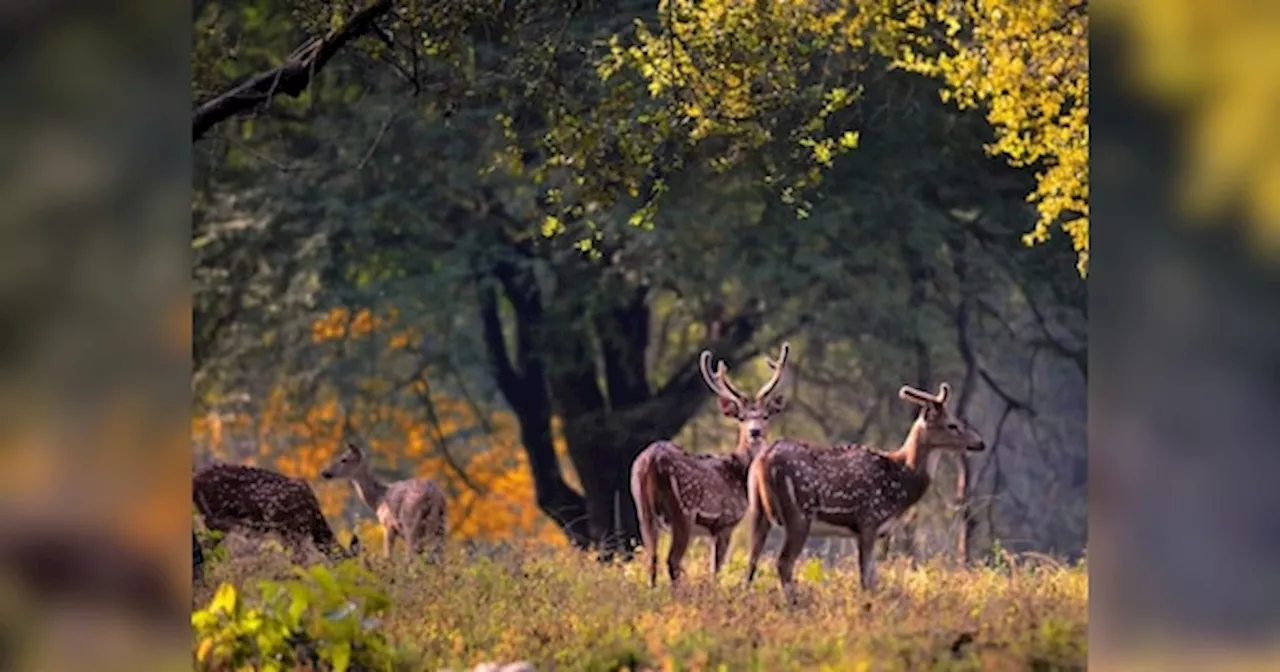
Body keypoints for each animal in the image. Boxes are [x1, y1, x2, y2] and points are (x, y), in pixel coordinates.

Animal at [317, 442, 448, 558]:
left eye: (344, 459)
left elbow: (388, 557)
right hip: (440, 525)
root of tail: (433, 497)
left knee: (412, 556)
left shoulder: (387, 525)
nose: (324, 472)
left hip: (410, 523)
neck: (378, 500)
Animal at [629, 343, 788, 583]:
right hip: (683, 511)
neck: (739, 474)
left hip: (642, 508)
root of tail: (650, 462)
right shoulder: (725, 522)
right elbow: (716, 570)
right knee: (672, 561)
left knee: (651, 559)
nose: (755, 431)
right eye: (741, 417)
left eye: (765, 416)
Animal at [747, 381, 983, 596]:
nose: (980, 443)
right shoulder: (869, 520)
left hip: (758, 509)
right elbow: (866, 579)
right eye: (952, 425)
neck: (900, 481)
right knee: (783, 562)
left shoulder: (863, 531)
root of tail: (763, 461)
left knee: (752, 560)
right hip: (799, 513)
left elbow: (873, 578)